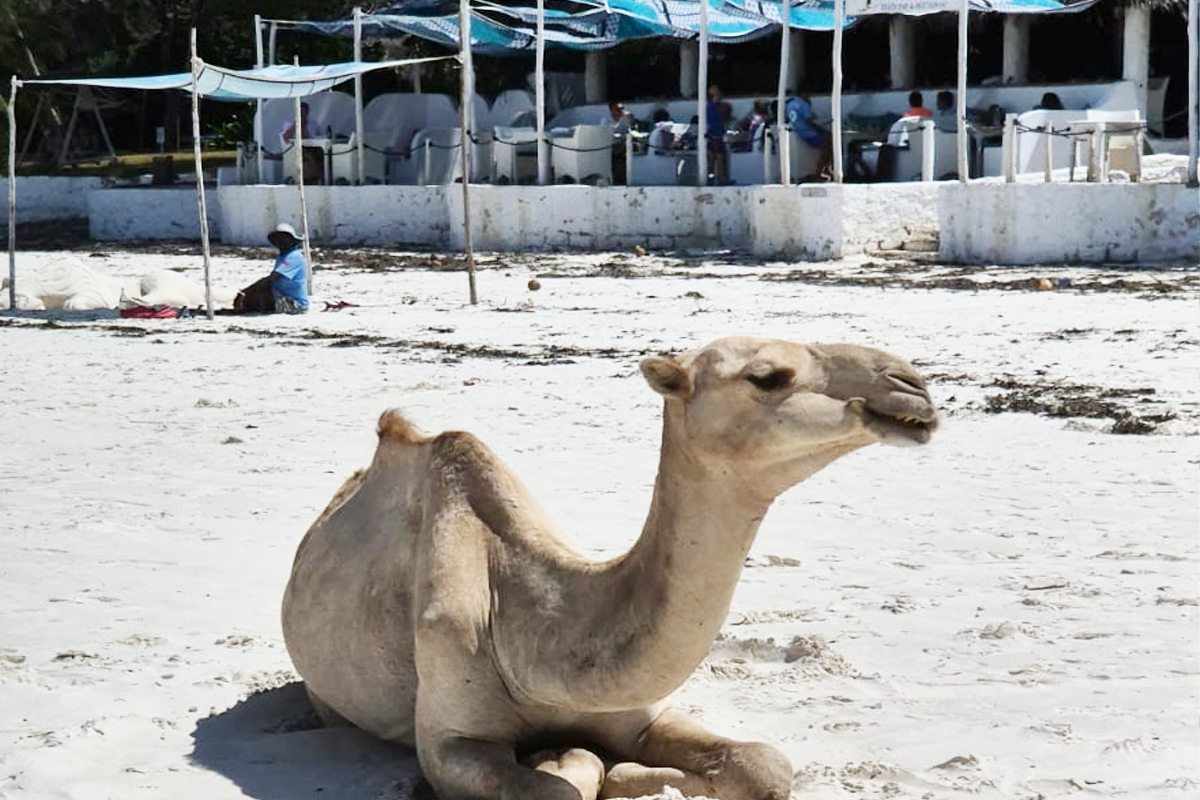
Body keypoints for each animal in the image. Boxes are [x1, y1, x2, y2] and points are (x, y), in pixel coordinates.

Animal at [281, 336, 937, 800]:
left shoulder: (641, 712)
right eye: (768, 376)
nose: (912, 387)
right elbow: (561, 785)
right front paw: (573, 761)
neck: (529, 631)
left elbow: (765, 764)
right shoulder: (450, 741)